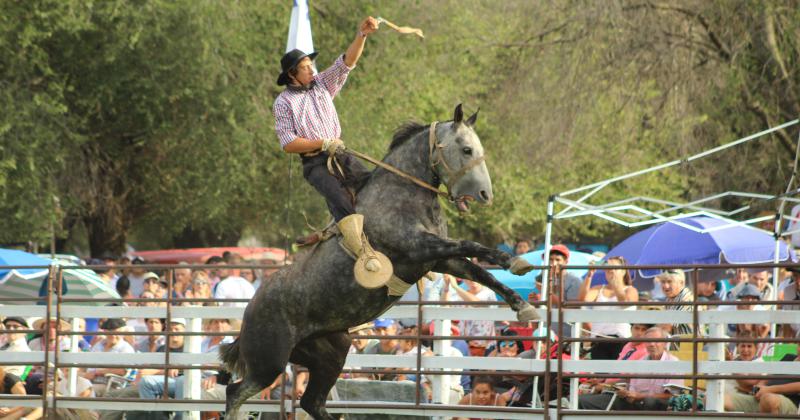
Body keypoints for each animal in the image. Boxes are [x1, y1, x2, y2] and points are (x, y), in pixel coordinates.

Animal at [222, 103, 540, 418]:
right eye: (466, 149)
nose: (485, 195)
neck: (401, 196)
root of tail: (249, 311)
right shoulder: (419, 248)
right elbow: (470, 245)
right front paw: (516, 265)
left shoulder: (438, 261)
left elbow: (478, 270)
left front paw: (522, 301)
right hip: (269, 362)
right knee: (235, 392)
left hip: (332, 352)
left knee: (312, 401)